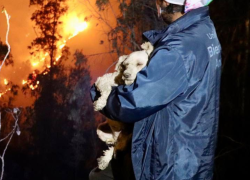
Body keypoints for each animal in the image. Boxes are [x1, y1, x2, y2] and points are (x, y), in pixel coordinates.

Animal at [93, 42, 153, 170]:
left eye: (139, 64)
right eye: (125, 65)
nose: (126, 75)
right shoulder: (102, 80)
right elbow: (108, 88)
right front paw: (100, 103)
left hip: (127, 135)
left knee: (116, 147)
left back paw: (105, 159)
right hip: (100, 129)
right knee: (113, 145)